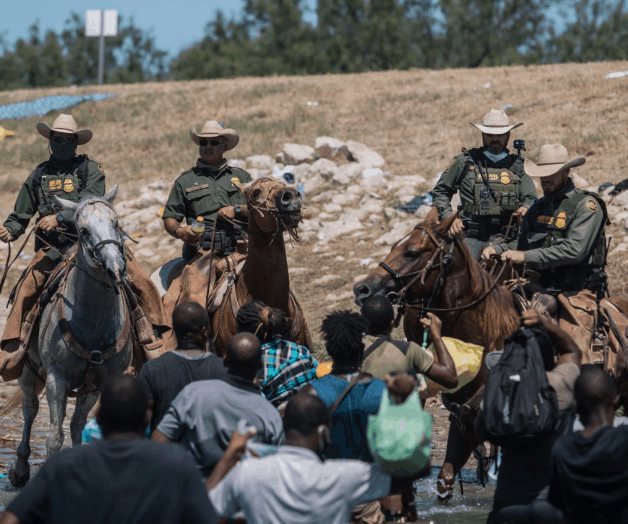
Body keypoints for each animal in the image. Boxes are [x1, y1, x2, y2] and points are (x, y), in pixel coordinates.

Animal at [9, 188, 134, 488]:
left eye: (115, 222)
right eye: (83, 230)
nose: (116, 268)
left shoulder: (99, 383)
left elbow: (77, 425)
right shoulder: (57, 379)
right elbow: (55, 437)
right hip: (28, 373)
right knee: (30, 410)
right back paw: (21, 468)